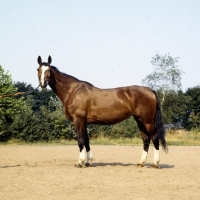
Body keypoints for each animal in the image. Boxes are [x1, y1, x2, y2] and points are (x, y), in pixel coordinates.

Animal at [36, 55, 167, 168]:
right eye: (38, 69)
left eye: (49, 70)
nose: (43, 84)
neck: (72, 91)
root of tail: (150, 90)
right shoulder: (84, 122)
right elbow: (87, 141)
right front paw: (88, 162)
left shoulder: (78, 120)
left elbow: (80, 141)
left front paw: (80, 162)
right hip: (139, 120)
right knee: (146, 139)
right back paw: (141, 162)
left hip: (147, 121)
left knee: (154, 138)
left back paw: (155, 163)